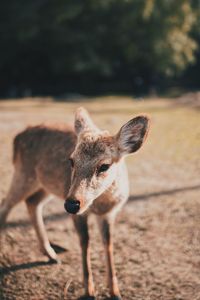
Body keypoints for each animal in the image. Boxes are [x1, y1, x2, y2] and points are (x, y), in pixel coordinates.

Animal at [0, 106, 150, 298]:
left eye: (104, 165)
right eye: (71, 160)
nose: (71, 204)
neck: (99, 206)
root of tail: (16, 138)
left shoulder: (109, 214)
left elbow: (108, 243)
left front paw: (115, 291)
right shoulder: (78, 213)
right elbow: (85, 241)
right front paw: (89, 291)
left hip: (47, 184)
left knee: (32, 202)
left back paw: (51, 255)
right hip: (24, 173)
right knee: (6, 202)